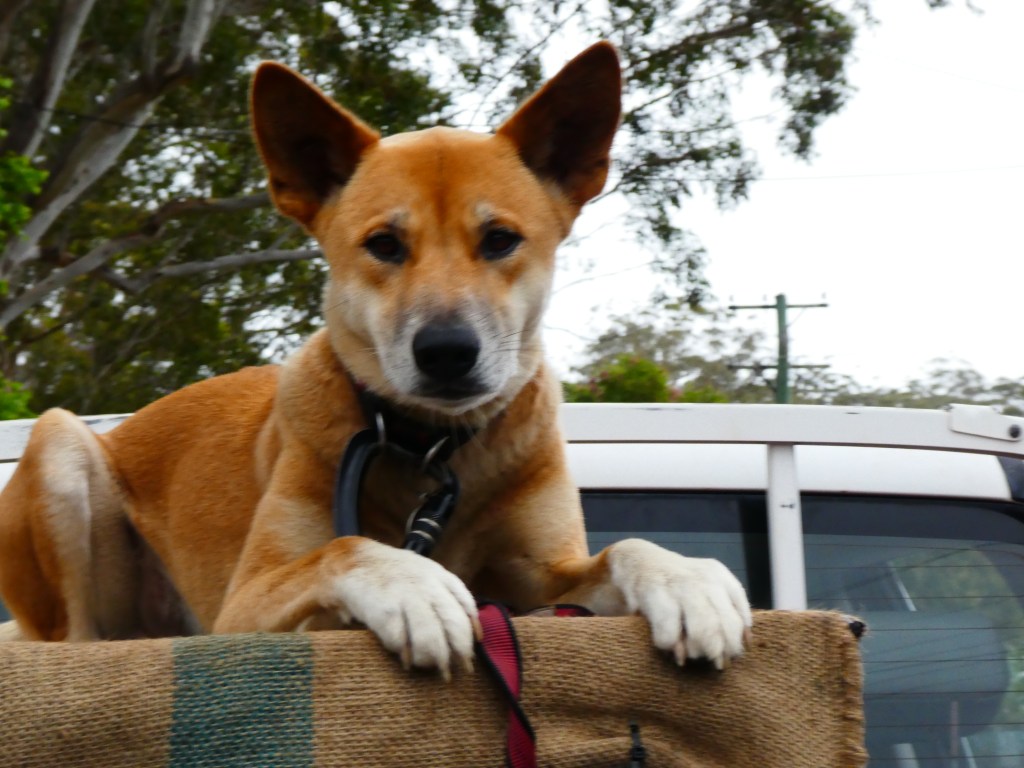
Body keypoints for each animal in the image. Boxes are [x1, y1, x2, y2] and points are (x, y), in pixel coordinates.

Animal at [0, 43, 751, 677]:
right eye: (385, 244)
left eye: (500, 239)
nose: (447, 352)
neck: (433, 451)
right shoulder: (244, 601)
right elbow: (344, 547)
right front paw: (412, 585)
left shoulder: (546, 578)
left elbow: (625, 549)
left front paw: (687, 578)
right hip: (61, 445)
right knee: (75, 642)